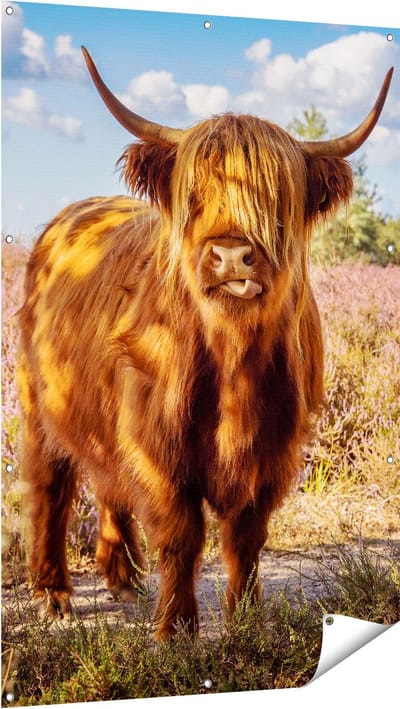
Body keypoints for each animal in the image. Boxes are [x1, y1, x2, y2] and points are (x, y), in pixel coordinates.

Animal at [18, 47, 393, 639]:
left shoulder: (274, 450)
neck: (233, 362)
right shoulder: (158, 447)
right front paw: (176, 630)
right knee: (50, 487)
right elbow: (180, 535)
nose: (232, 255)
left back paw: (123, 577)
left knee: (108, 483)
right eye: (194, 194)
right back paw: (53, 593)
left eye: (276, 198)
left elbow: (246, 538)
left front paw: (245, 621)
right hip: (39, 405)